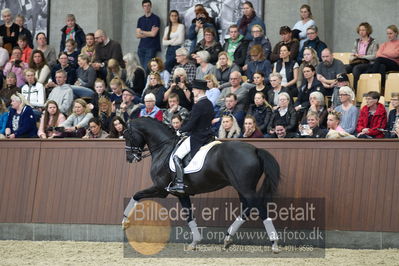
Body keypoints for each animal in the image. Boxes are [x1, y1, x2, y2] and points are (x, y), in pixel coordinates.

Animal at [122, 117, 282, 252]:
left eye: (127, 135)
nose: (130, 158)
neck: (164, 148)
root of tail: (255, 150)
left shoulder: (161, 189)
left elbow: (136, 195)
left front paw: (125, 221)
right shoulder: (182, 194)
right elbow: (189, 216)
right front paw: (195, 242)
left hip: (245, 187)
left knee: (258, 206)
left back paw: (274, 243)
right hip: (242, 187)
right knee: (248, 207)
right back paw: (228, 238)